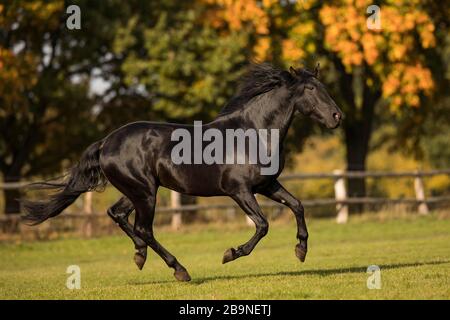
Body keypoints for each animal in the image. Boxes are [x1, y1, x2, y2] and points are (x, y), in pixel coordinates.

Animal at [22, 63, 342, 282]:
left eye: (325, 87)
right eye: (311, 90)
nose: (337, 116)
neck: (254, 133)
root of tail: (106, 142)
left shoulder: (267, 185)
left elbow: (298, 206)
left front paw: (301, 250)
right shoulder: (239, 190)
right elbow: (262, 225)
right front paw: (230, 254)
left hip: (138, 191)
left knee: (118, 214)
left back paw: (140, 256)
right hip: (145, 193)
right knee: (143, 228)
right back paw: (180, 270)